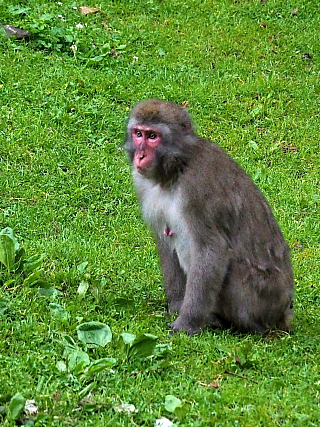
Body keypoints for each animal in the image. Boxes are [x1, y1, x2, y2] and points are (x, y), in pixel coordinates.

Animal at [124, 99, 294, 334]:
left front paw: (186, 323)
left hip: (263, 296)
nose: (140, 156)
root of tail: (285, 309)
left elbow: (211, 249)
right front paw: (177, 305)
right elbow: (165, 242)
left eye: (152, 136)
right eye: (138, 133)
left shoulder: (197, 190)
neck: (177, 169)